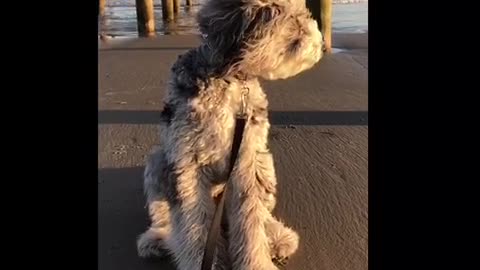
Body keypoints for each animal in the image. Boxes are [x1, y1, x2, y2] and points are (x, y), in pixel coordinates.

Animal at [137, 0, 324, 268]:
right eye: (295, 22)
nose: (322, 45)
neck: (227, 79)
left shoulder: (247, 159)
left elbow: (251, 219)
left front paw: (256, 262)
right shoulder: (187, 166)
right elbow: (193, 225)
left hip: (264, 164)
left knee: (263, 212)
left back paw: (278, 237)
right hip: (158, 161)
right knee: (164, 216)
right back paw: (157, 238)